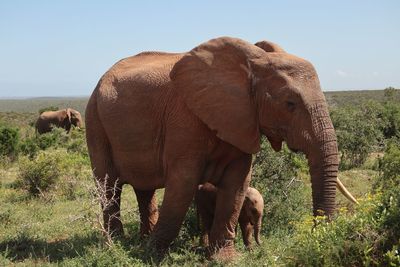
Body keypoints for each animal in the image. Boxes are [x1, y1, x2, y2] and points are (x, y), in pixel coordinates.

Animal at [84, 36, 356, 260]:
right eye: (290, 103)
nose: (318, 236)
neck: (252, 65)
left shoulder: (243, 121)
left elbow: (237, 186)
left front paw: (223, 258)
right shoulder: (185, 120)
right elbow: (182, 184)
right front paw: (151, 256)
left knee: (144, 190)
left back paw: (138, 240)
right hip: (94, 119)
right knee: (109, 186)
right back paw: (118, 245)